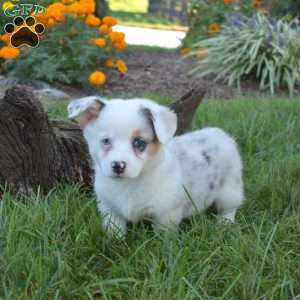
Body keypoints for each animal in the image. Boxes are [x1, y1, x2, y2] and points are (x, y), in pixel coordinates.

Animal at [68, 97, 244, 236]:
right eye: (105, 141)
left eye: (139, 142)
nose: (118, 166)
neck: (129, 184)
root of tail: (221, 134)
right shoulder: (110, 210)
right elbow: (115, 231)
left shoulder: (165, 215)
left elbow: (162, 237)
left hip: (230, 190)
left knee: (230, 208)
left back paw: (225, 223)